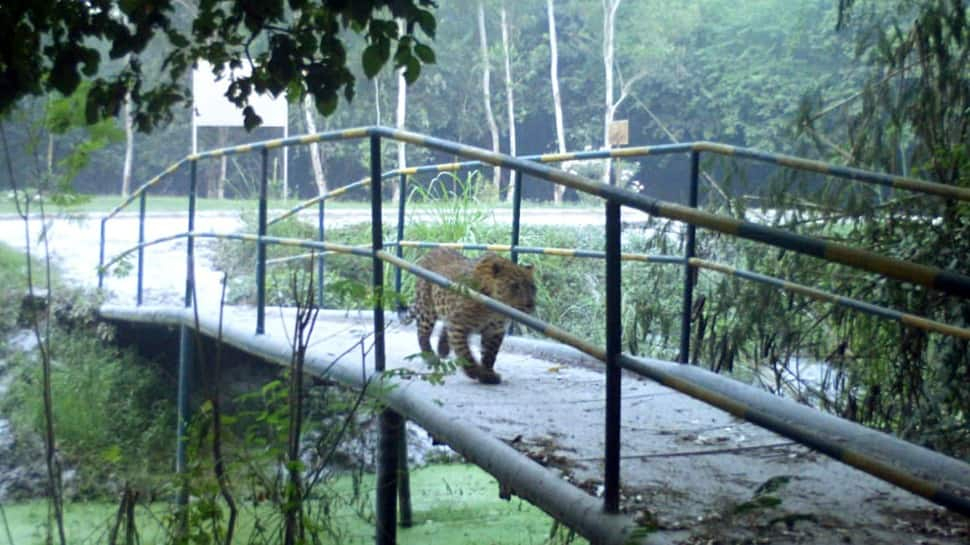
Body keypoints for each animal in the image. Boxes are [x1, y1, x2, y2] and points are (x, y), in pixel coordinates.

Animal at [412, 246, 536, 382]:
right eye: (514, 286)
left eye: (533, 287)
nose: (530, 304)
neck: (494, 311)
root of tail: (435, 249)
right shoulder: (459, 325)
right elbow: (465, 352)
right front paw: (475, 372)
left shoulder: (495, 330)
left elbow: (490, 354)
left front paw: (488, 373)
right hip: (426, 308)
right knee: (423, 333)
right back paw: (430, 357)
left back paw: (443, 349)